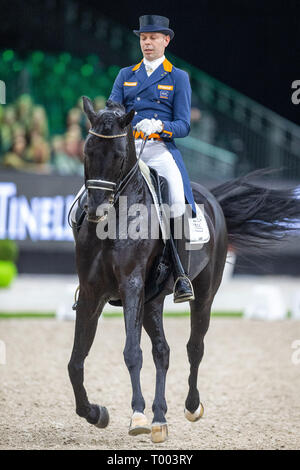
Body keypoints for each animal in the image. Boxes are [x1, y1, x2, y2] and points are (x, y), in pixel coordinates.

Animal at [68, 97, 300, 442]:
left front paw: (137, 417)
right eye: (87, 152)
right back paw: (160, 418)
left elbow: (131, 352)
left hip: (203, 295)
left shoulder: (131, 286)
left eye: (119, 156)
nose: (95, 210)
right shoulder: (92, 292)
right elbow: (76, 360)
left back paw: (190, 406)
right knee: (163, 351)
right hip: (152, 301)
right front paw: (96, 414)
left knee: (195, 347)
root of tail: (212, 199)